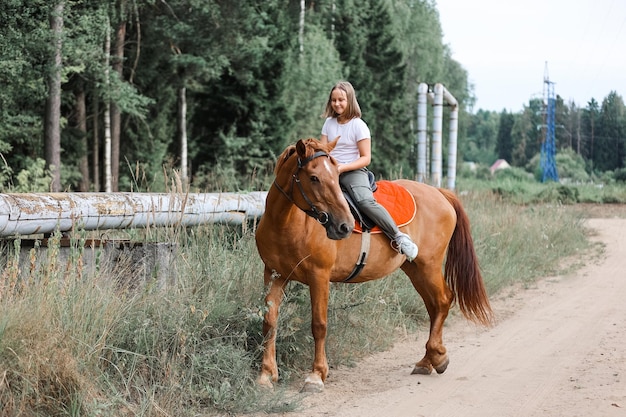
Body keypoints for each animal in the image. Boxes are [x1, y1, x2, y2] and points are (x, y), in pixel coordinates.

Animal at [255, 138, 492, 392]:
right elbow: (269, 322)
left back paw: (436, 357)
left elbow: (319, 324)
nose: (345, 226)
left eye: (335, 175)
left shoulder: (319, 276)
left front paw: (316, 376)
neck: (288, 224)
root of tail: (439, 192)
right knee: (434, 306)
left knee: (443, 300)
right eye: (314, 177)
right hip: (415, 269)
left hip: (429, 265)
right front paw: (266, 375)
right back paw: (428, 360)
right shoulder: (274, 275)